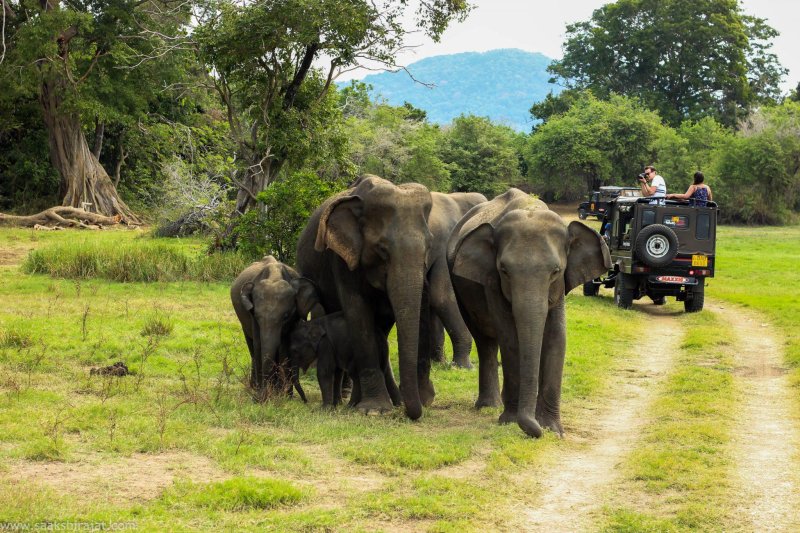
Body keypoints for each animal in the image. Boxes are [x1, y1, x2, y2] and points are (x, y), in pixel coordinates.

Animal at [230, 256, 320, 392]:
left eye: (286, 316)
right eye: (257, 316)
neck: (275, 275)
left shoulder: (295, 317)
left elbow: (284, 347)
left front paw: (282, 394)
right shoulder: (252, 316)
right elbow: (258, 344)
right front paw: (263, 394)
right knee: (252, 347)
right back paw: (254, 387)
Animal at [298, 175, 434, 420]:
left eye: (429, 247)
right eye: (382, 249)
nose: (420, 405)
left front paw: (391, 404)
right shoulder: (342, 258)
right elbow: (358, 313)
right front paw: (374, 410)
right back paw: (344, 396)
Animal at [446, 187, 608, 436]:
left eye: (555, 271)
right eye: (504, 270)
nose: (535, 430)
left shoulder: (559, 288)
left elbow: (556, 336)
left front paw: (552, 429)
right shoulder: (491, 282)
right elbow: (510, 337)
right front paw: (511, 421)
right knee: (485, 342)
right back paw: (490, 406)